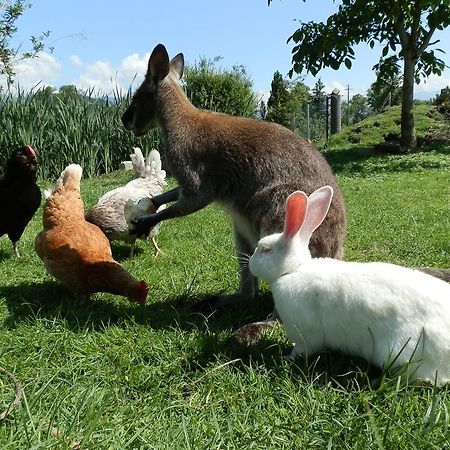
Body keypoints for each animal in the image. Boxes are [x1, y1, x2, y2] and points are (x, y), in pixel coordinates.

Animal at [250, 186, 450, 386]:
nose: (250, 264)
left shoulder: (305, 335)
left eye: (265, 250)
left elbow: (301, 350)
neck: (294, 270)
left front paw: (287, 358)